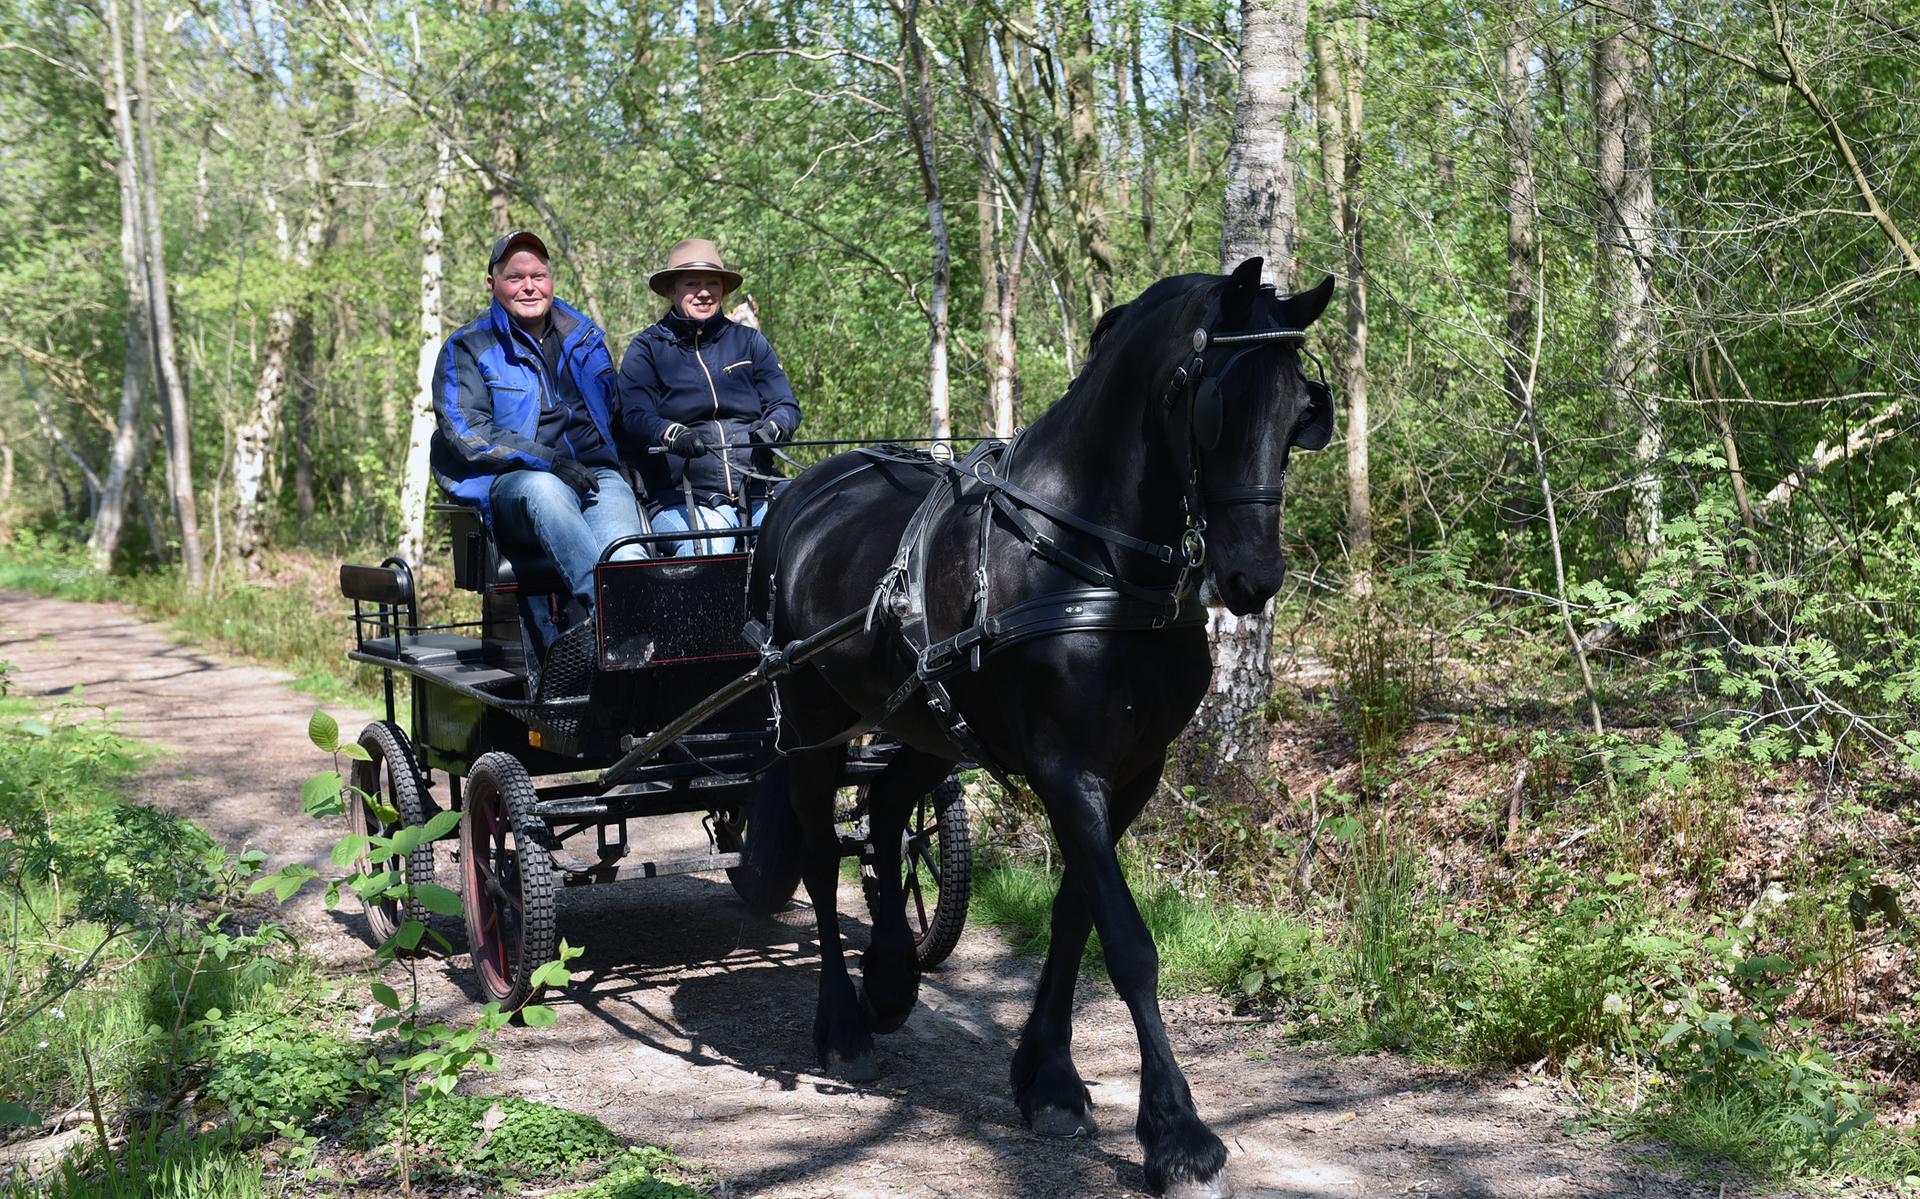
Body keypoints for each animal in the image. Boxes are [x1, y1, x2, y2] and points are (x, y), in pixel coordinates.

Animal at [744, 259, 1335, 1198]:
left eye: (1297, 412)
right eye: (1219, 405)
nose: (1253, 576)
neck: (1091, 558)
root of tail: (803, 490)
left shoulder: (1133, 772)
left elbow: (1073, 915)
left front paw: (1048, 1077)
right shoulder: (1067, 770)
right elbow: (1127, 941)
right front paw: (1178, 1133)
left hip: (924, 723)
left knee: (885, 817)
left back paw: (891, 979)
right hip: (810, 719)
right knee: (816, 851)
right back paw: (843, 1023)